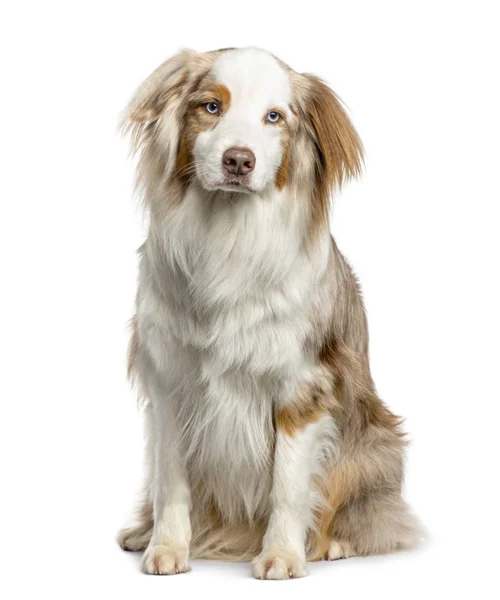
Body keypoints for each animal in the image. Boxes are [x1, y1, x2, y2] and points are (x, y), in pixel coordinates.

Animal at [118, 44, 422, 580]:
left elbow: (288, 484)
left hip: (374, 445)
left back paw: (333, 542)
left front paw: (282, 555)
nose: (239, 160)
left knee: (370, 512)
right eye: (211, 107)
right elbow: (171, 480)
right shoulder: (170, 383)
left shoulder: (301, 387)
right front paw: (167, 548)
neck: (227, 236)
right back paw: (141, 532)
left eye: (274, 117)